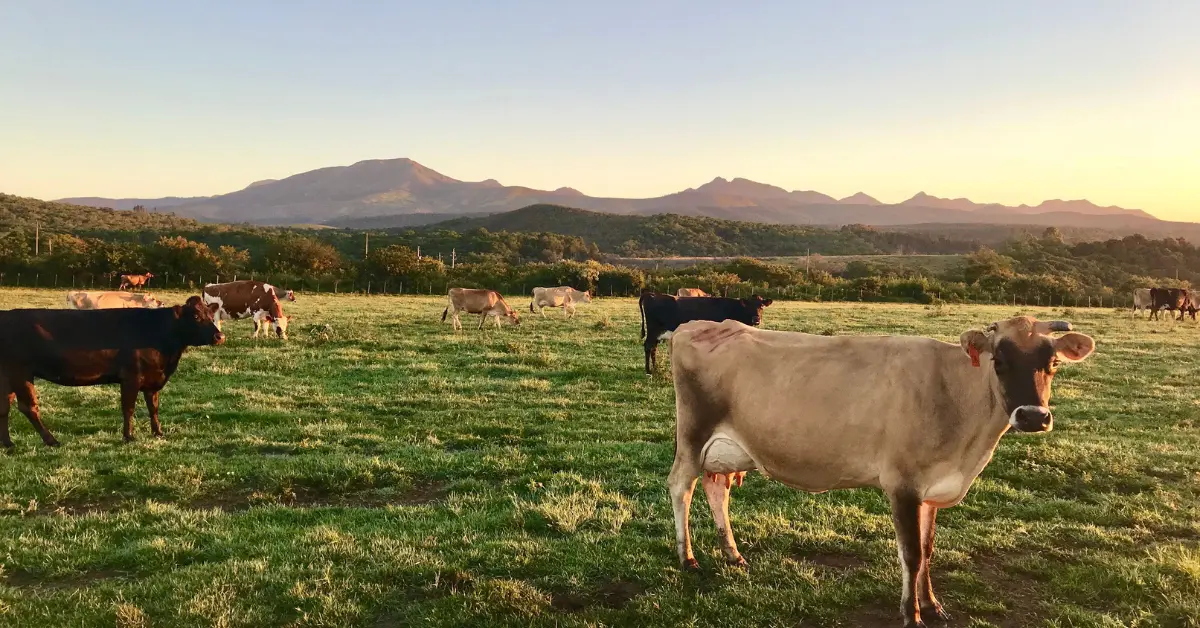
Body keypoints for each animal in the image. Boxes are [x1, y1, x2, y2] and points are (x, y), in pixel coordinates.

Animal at [0, 296, 225, 447]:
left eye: (211, 314)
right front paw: (129, 436)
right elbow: (129, 408)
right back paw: (51, 440)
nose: (219, 336)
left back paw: (8, 444)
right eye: (195, 316)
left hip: (7, 376)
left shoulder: (152, 379)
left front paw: (158, 432)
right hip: (20, 372)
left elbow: (153, 407)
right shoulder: (131, 377)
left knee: (5, 406)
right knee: (28, 407)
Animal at [639, 291, 772, 374]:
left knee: (653, 348)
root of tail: (652, 294)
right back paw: (648, 371)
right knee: (648, 347)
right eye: (749, 306)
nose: (756, 319)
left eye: (761, 306)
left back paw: (655, 368)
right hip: (653, 330)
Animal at [667, 316, 1095, 627]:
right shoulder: (902, 484)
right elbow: (911, 554)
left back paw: (733, 555)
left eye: (1053, 364)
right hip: (693, 434)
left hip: (726, 450)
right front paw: (912, 614)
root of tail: (697, 324)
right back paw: (688, 558)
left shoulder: (931, 488)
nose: (1034, 416)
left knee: (716, 488)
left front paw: (932, 604)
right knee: (680, 487)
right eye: (999, 362)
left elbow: (928, 548)